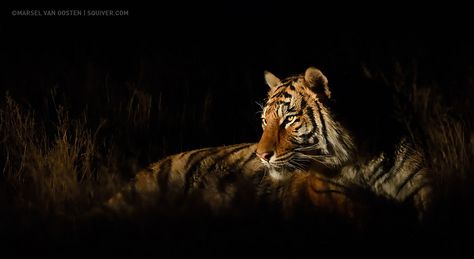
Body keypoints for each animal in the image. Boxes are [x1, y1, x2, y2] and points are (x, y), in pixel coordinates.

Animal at [106, 67, 434, 223]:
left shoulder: (422, 191)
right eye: (265, 121)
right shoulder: (334, 200)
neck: (364, 158)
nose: (261, 155)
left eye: (289, 119)